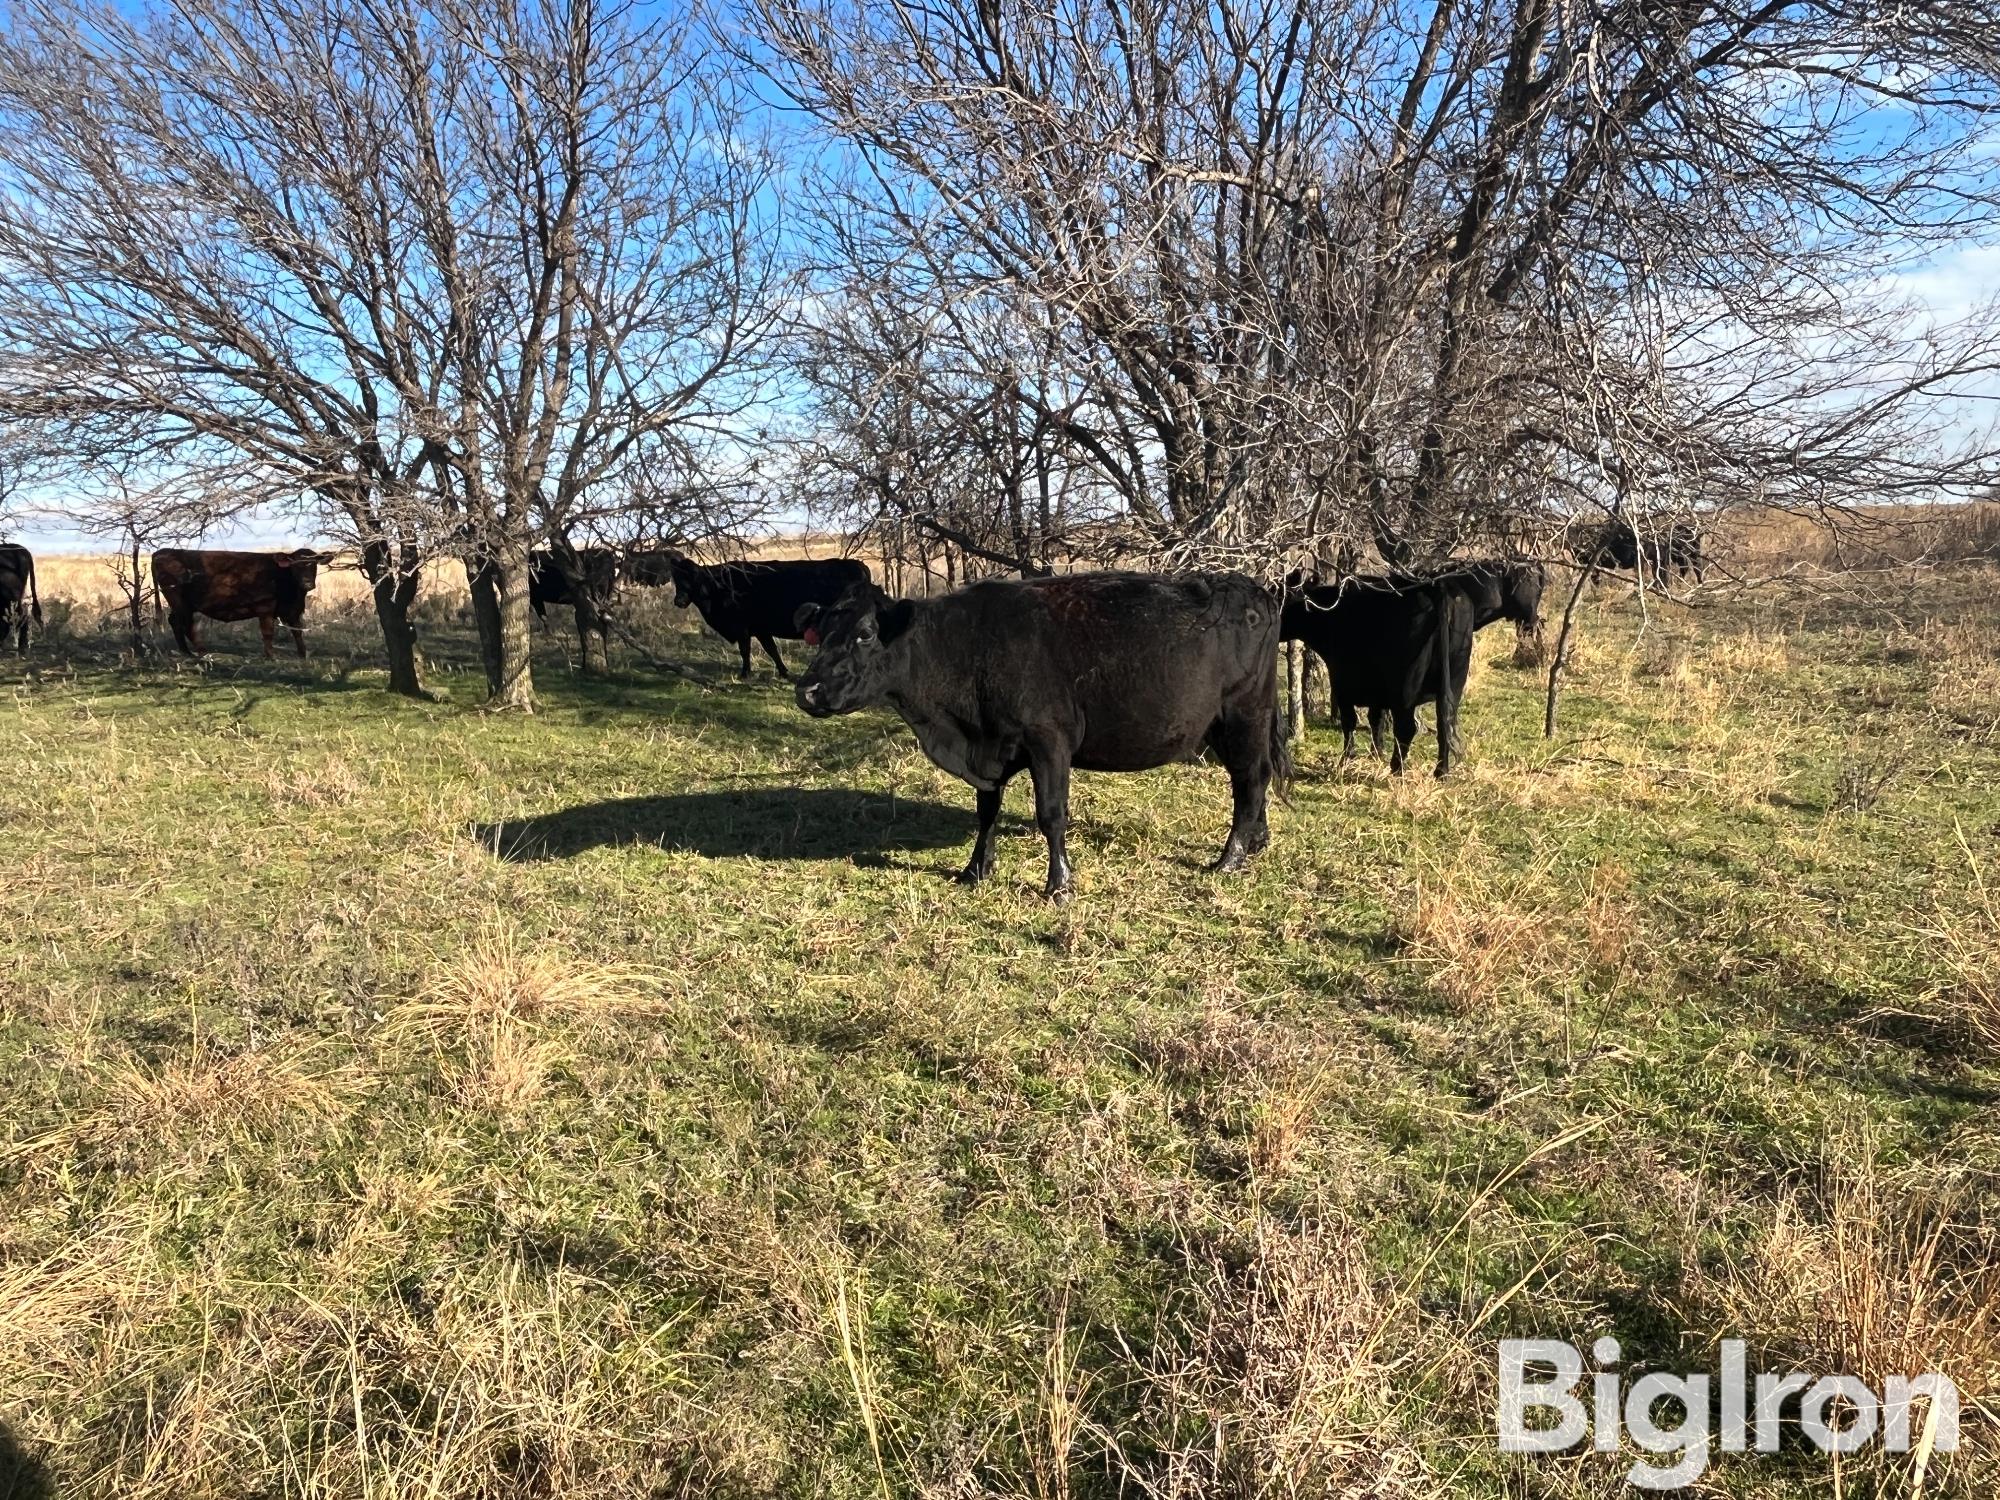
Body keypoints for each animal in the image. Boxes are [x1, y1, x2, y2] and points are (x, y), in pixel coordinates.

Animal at [150, 544, 334, 656]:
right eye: (295, 565)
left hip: (179, 604)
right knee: (185, 624)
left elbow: (297, 631)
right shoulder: (265, 608)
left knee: (174, 621)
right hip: (180, 602)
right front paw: (271, 656)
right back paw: (201, 652)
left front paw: (303, 654)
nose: (307, 583)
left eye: (313, 565)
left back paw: (186, 652)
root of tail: (163, 552)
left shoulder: (292, 610)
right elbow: (268, 632)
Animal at [644, 552, 880, 680]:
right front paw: (784, 672)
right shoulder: (760, 629)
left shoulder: (742, 628)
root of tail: (856, 565)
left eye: (692, 578)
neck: (718, 587)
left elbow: (745, 650)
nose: (679, 601)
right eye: (676, 579)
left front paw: (745, 673)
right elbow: (772, 650)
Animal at [788, 572, 1288, 904]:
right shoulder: (991, 750)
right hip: (1222, 724)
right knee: (1255, 779)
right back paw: (1256, 841)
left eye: (865, 633)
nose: (807, 689)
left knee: (1249, 780)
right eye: (820, 633)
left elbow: (1051, 815)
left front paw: (1059, 883)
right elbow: (986, 812)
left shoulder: (1049, 742)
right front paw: (975, 869)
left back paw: (1230, 858)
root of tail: (1251, 587)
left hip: (1243, 714)